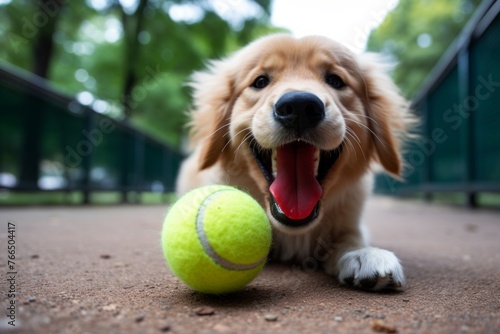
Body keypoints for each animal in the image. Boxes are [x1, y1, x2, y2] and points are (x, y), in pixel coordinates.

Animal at [178, 34, 412, 290]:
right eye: (260, 81)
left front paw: (364, 254)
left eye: (335, 80)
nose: (300, 106)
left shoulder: (350, 221)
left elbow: (350, 238)